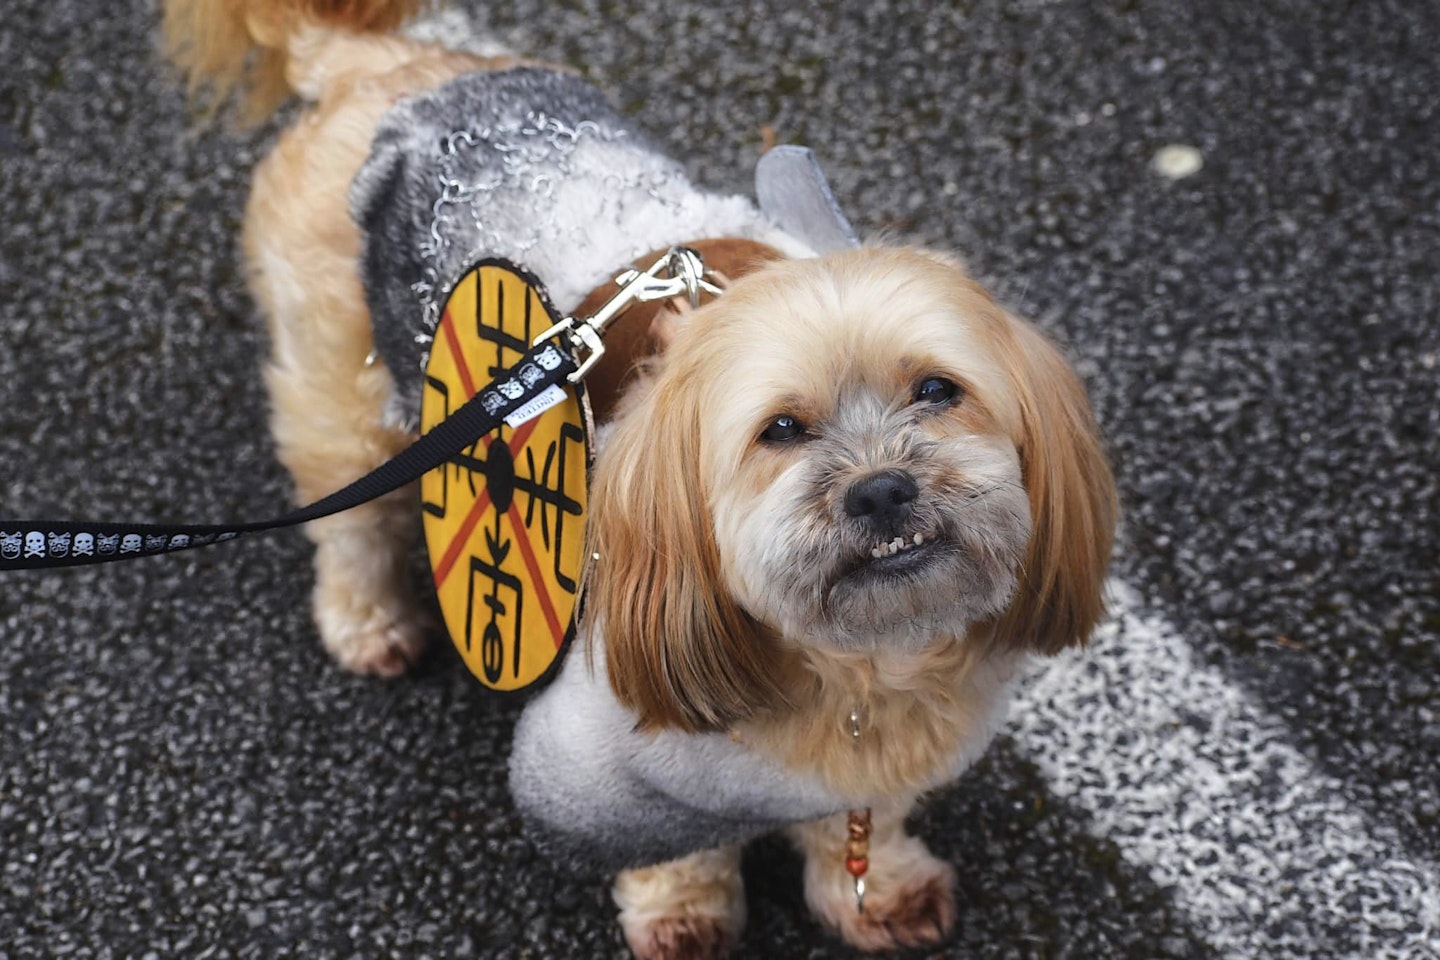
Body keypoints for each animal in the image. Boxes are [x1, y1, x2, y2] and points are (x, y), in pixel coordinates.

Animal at [165, 3, 1111, 955]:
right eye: (780, 430)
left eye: (938, 390)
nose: (881, 489)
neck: (859, 669)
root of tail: (384, 67)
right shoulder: (620, 763)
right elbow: (676, 850)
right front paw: (684, 915)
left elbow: (862, 821)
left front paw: (878, 889)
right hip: (345, 398)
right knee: (351, 523)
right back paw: (370, 622)